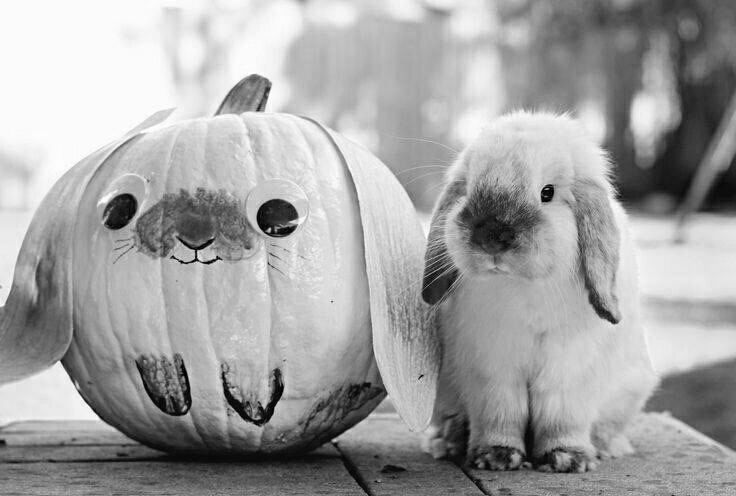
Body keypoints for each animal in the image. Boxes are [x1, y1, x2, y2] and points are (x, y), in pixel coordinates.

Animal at [420, 111, 657, 473]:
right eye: (470, 189)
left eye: (547, 192)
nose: (491, 237)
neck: (523, 286)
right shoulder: (492, 366)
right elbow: (499, 412)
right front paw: (496, 457)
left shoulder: (569, 369)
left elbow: (561, 414)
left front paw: (567, 459)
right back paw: (447, 442)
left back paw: (608, 448)